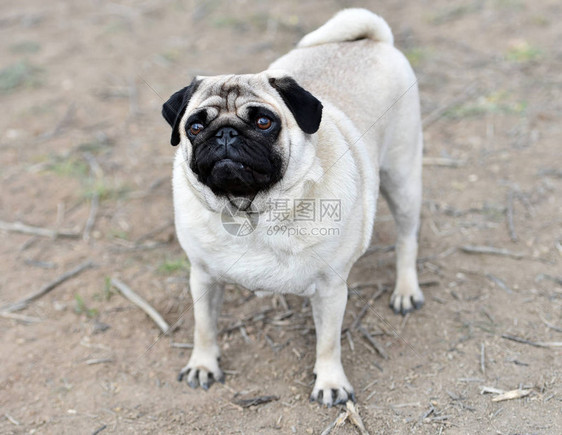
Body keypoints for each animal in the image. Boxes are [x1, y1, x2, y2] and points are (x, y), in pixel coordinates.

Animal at [160, 7, 422, 408]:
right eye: (195, 126)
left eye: (263, 122)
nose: (225, 134)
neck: (251, 214)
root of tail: (369, 39)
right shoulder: (202, 276)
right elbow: (204, 326)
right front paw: (203, 364)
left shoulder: (331, 288)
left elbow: (328, 342)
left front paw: (330, 382)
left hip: (403, 177)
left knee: (407, 238)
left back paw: (406, 290)